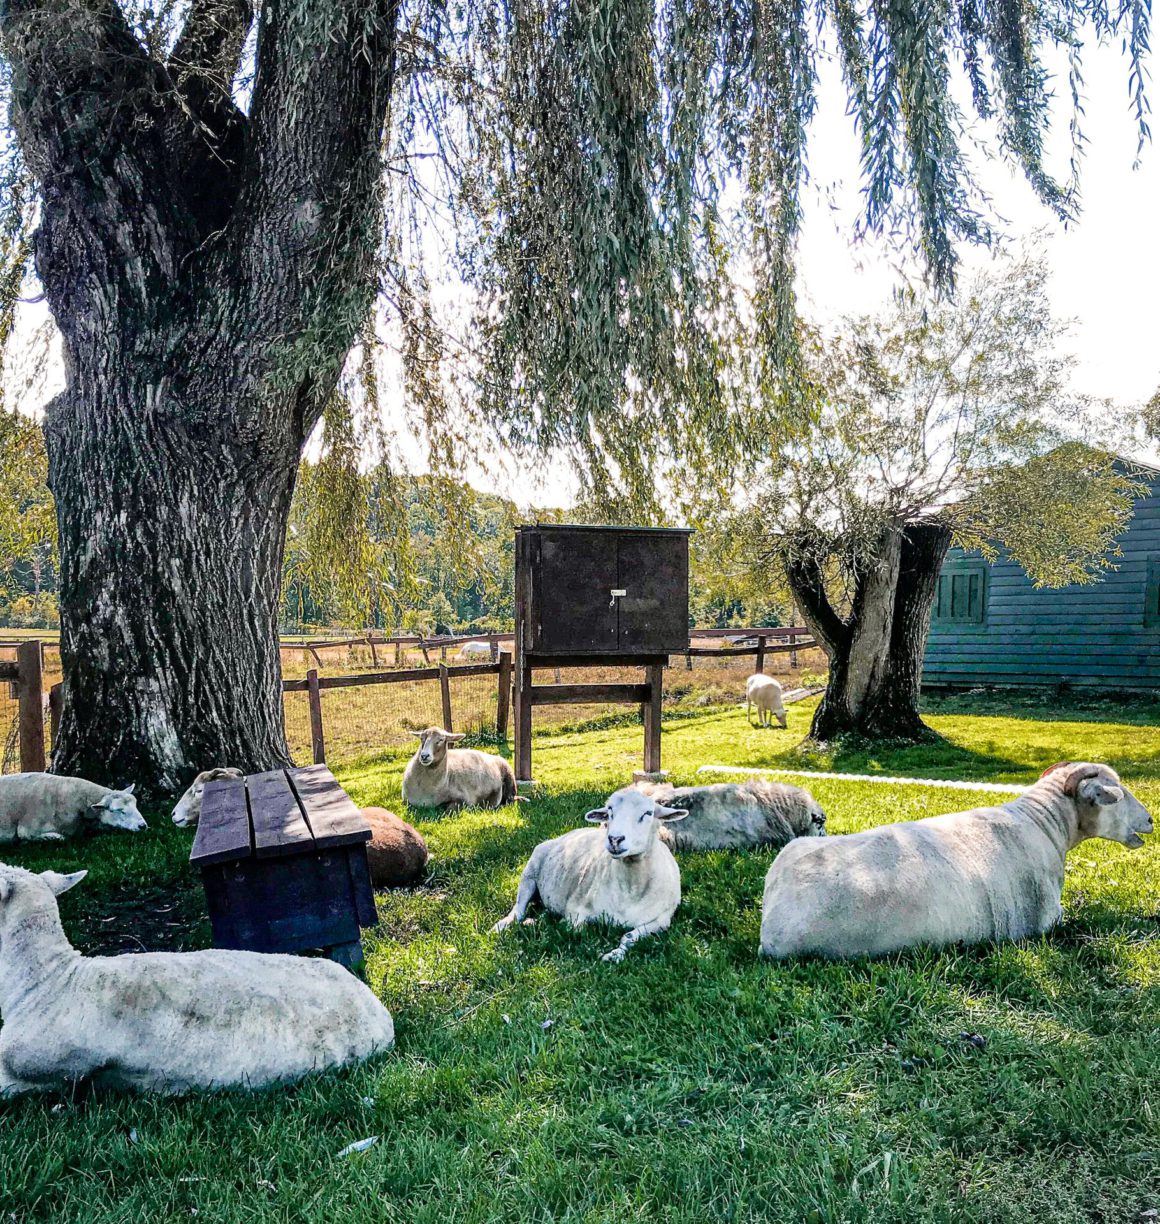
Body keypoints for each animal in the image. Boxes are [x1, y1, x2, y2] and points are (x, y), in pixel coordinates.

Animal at [489, 783, 690, 964]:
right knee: (519, 909)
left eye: (647, 813)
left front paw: (614, 955)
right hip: (530, 871)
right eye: (610, 811)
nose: (615, 839)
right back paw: (506, 925)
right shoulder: (576, 908)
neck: (630, 890)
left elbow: (629, 937)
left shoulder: (662, 920)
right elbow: (576, 929)